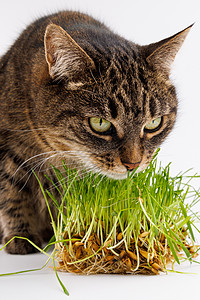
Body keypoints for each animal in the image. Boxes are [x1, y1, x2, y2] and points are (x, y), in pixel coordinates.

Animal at [0, 11, 191, 253]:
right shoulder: (7, 150)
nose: (133, 165)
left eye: (154, 123)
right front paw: (20, 237)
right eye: (100, 123)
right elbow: (11, 193)